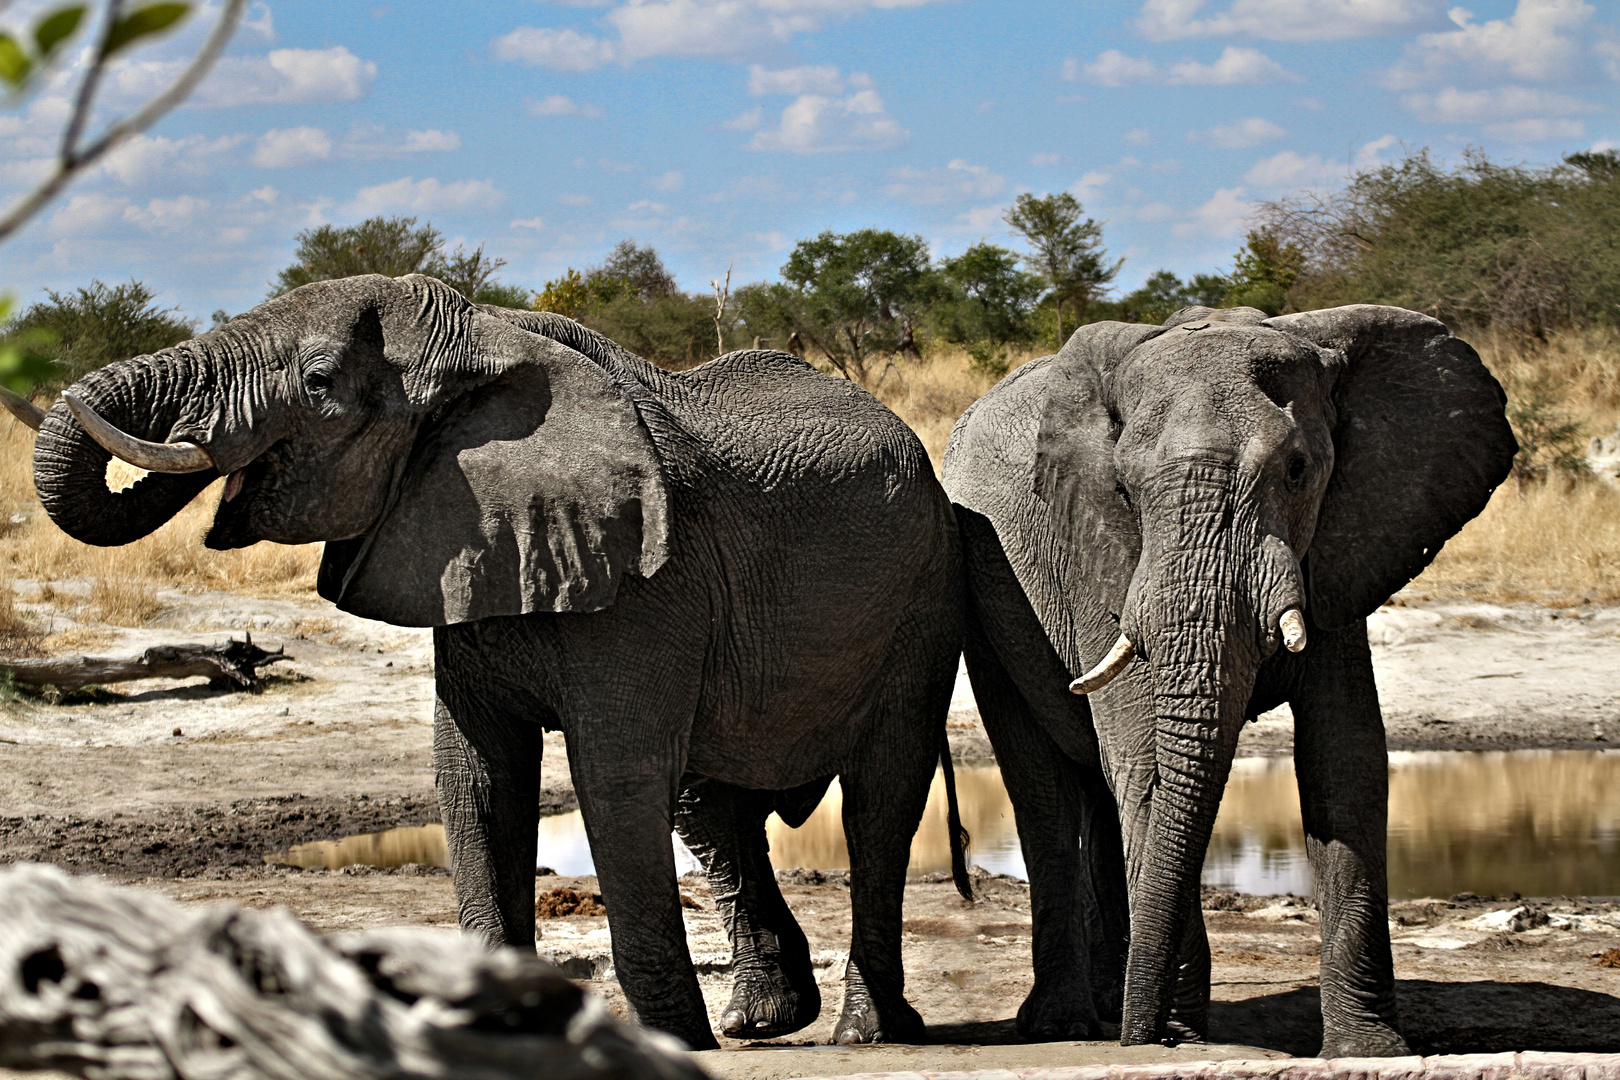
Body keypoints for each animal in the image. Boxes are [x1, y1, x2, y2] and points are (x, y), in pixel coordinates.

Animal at [12, 275, 965, 1049]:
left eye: (319, 385)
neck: (485, 343)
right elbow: (476, 778)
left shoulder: (652, 586)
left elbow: (615, 779)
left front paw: (670, 1046)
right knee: (710, 800)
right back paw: (763, 1021)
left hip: (922, 596)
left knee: (880, 796)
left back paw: (864, 1032)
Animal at [946, 304, 1509, 1055]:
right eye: (1123, 488)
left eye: (1297, 471)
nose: (1143, 1041)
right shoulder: (1095, 554)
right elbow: (1145, 760)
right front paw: (1180, 1039)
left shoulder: (1337, 548)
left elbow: (1346, 759)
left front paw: (1371, 1051)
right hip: (989, 595)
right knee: (1045, 789)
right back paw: (1071, 1023)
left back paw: (1111, 1003)